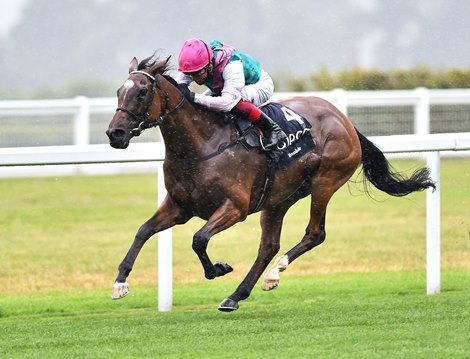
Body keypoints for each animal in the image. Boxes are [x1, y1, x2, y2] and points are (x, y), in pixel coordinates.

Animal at [105, 55, 434, 312]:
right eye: (119, 91)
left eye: (143, 92)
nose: (115, 134)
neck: (201, 144)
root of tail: (345, 120)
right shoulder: (179, 206)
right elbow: (143, 230)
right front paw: (120, 282)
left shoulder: (235, 208)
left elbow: (198, 239)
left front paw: (218, 269)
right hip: (279, 197)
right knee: (268, 246)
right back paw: (236, 295)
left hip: (325, 181)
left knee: (314, 233)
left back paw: (274, 273)